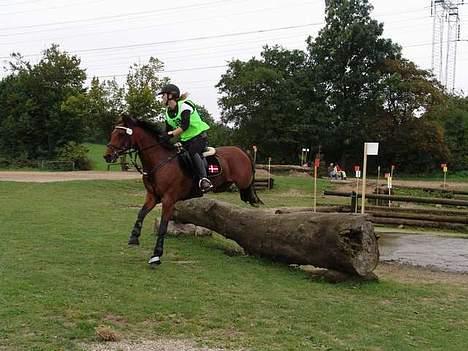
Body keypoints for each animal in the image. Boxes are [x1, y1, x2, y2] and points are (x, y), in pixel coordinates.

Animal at [103, 115, 264, 266]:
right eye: (113, 133)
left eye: (121, 134)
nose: (107, 156)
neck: (159, 161)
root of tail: (241, 151)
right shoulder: (152, 196)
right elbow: (141, 213)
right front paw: (134, 237)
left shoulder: (168, 200)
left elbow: (163, 226)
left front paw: (156, 256)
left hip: (243, 181)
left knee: (249, 188)